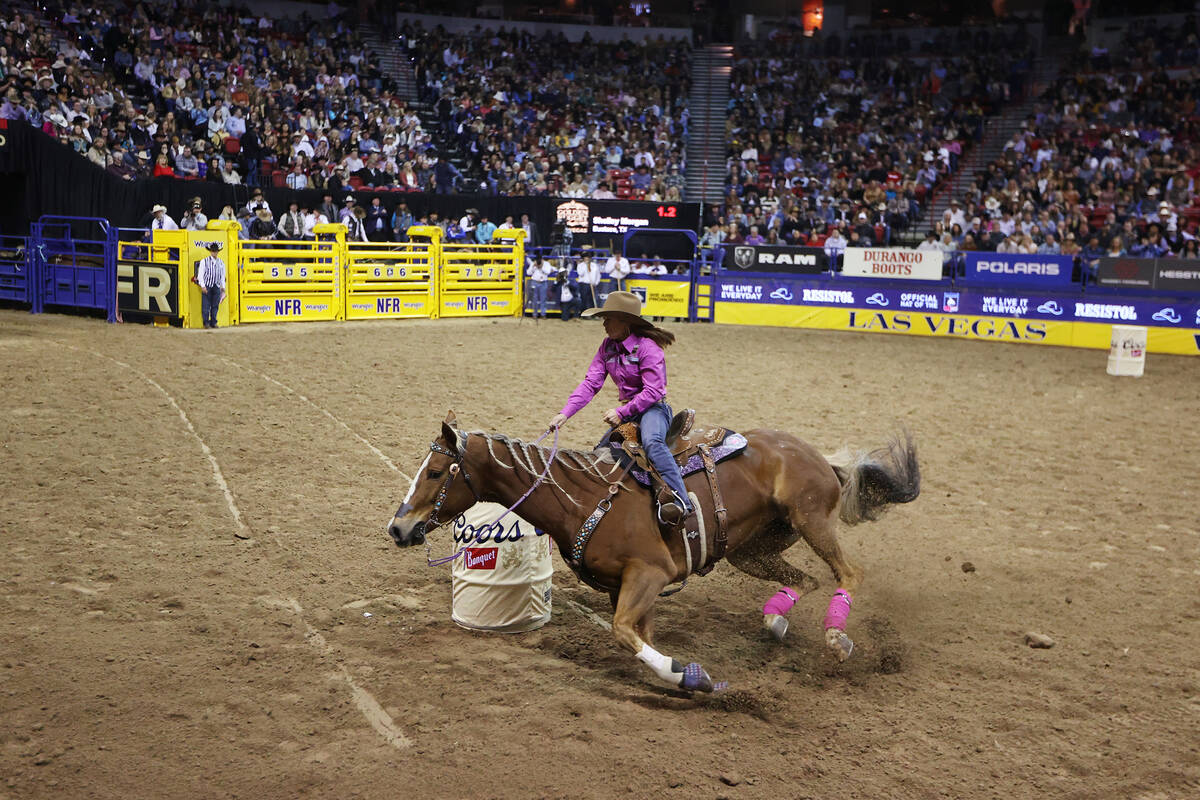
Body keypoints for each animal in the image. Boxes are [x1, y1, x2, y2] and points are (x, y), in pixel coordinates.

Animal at [384, 412, 916, 695]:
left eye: (436, 472)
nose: (398, 527)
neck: (583, 499)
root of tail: (822, 458)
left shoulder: (649, 575)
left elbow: (622, 632)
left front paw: (690, 675)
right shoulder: (628, 587)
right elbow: (638, 635)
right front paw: (679, 674)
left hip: (811, 521)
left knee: (849, 573)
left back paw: (836, 639)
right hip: (752, 550)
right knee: (806, 581)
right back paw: (776, 621)